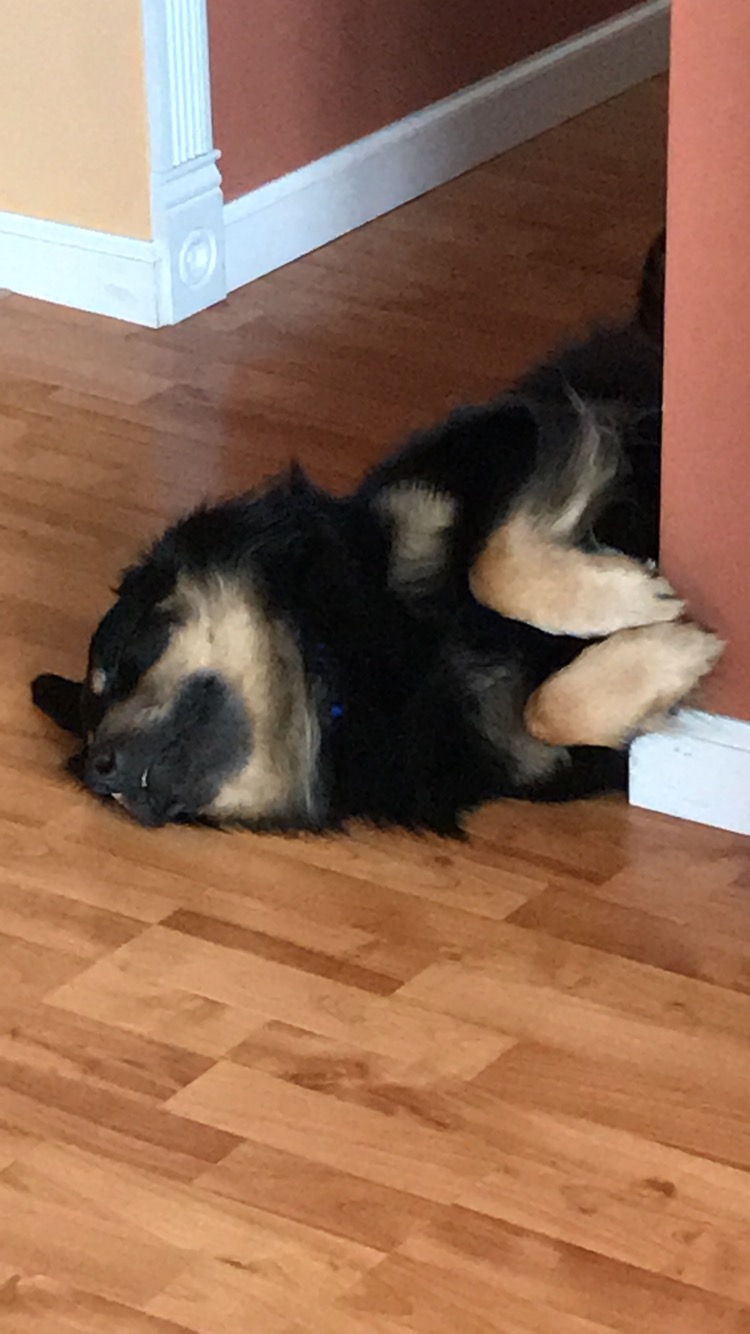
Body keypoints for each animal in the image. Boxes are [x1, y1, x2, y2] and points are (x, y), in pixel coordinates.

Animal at [30, 230, 720, 832]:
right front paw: (662, 660)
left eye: (125, 662)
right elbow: (546, 710)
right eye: (89, 730)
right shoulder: (521, 749)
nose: (98, 771)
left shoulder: (509, 437)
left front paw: (630, 604)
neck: (347, 656)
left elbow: (492, 566)